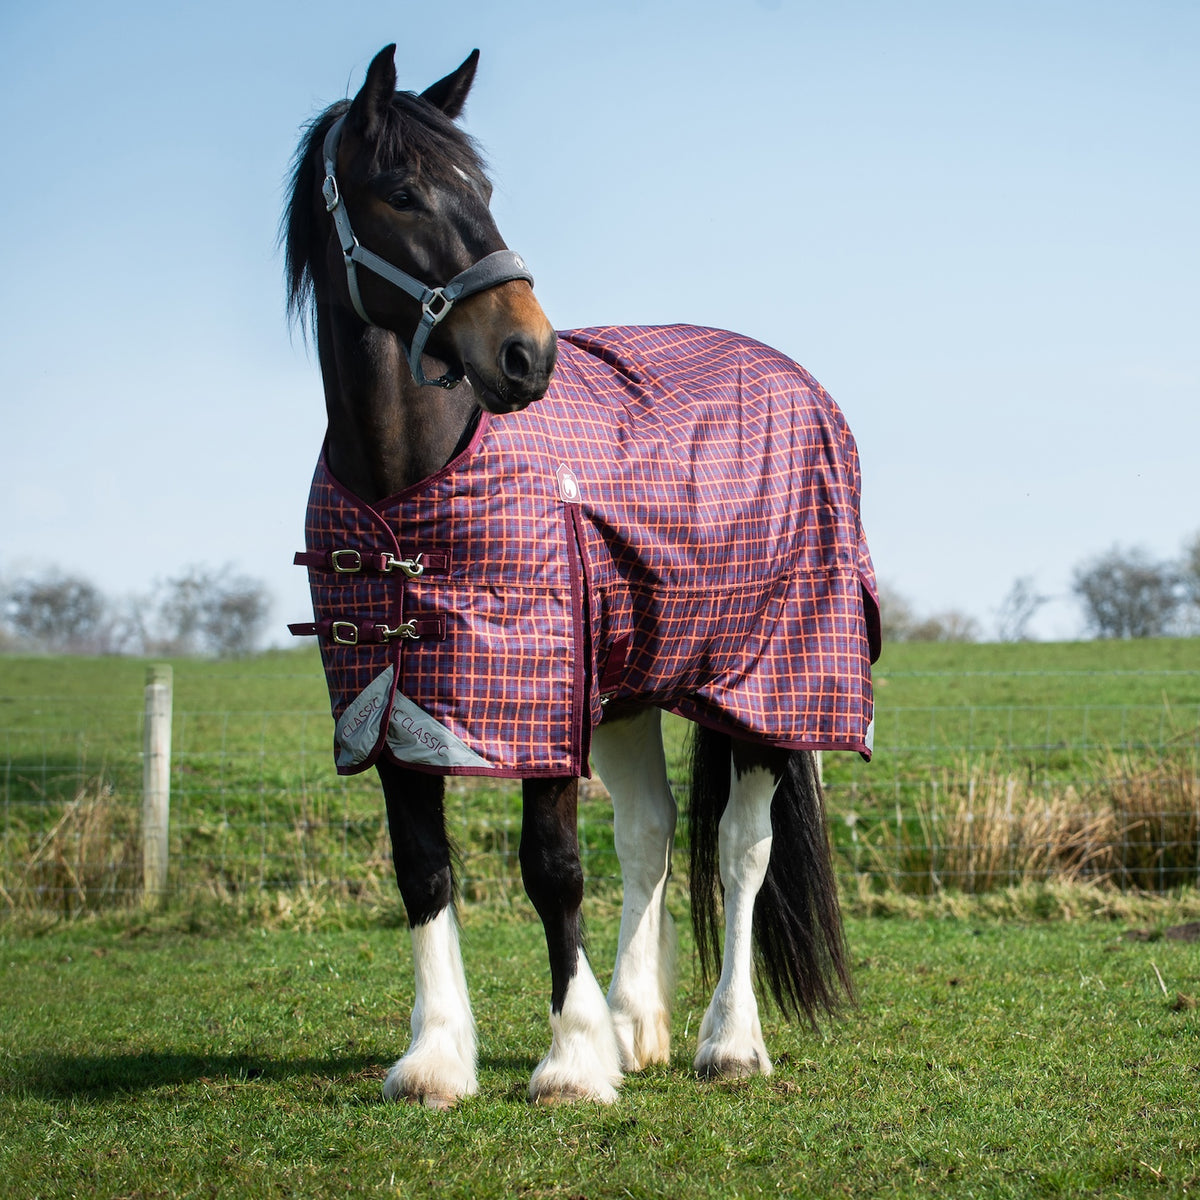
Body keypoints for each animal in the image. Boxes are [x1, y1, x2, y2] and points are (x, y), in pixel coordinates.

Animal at [285, 45, 879, 1107]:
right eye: (403, 192)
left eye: (483, 190)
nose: (529, 353)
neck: (407, 483)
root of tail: (795, 377)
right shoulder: (388, 703)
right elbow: (422, 867)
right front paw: (440, 1056)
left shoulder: (543, 700)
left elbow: (551, 866)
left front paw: (568, 1057)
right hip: (630, 685)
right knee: (649, 831)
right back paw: (638, 1025)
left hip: (771, 686)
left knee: (742, 848)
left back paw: (730, 1043)